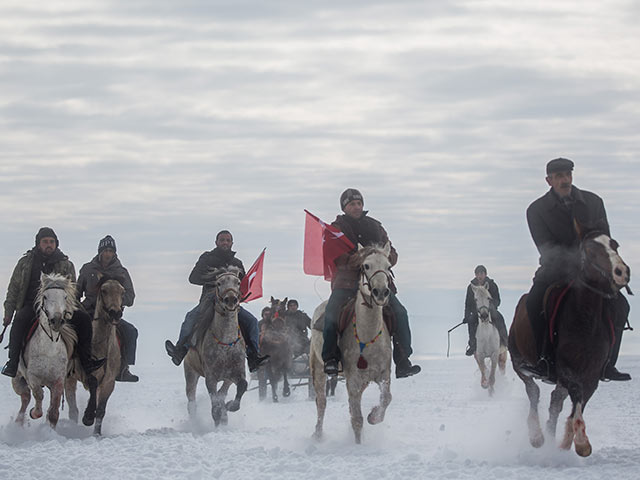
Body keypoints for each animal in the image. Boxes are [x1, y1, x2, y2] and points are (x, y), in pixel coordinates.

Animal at [11, 274, 77, 428]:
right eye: (45, 296)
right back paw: (19, 422)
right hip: (17, 379)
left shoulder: (58, 381)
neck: (49, 350)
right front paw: (34, 413)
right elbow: (38, 395)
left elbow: (54, 412)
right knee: (25, 397)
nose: (57, 320)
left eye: (65, 296)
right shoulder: (33, 377)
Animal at [65, 274, 125, 436]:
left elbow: (101, 410)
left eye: (122, 291)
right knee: (72, 408)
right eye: (103, 290)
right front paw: (87, 417)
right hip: (70, 378)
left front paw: (97, 433)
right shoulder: (86, 373)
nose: (115, 313)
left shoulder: (109, 382)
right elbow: (92, 383)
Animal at [184, 264, 249, 426]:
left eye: (238, 282)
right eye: (219, 283)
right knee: (191, 401)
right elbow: (214, 404)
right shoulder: (211, 377)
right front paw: (219, 415)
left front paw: (229, 406)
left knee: (222, 392)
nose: (231, 299)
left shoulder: (235, 373)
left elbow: (241, 386)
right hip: (190, 371)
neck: (225, 344)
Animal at [308, 242, 392, 444]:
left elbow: (386, 398)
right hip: (317, 368)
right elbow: (357, 419)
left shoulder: (384, 374)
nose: (381, 292)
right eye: (366, 266)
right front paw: (357, 446)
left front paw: (374, 416)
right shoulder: (352, 379)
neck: (367, 337)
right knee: (321, 402)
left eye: (388, 266)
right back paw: (317, 434)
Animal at [510, 231, 632, 456]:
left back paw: (551, 437)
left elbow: (579, 405)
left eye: (615, 245)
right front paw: (581, 443)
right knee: (533, 392)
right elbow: (576, 399)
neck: (585, 320)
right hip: (519, 363)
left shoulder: (592, 376)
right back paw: (537, 436)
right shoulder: (567, 371)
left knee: (555, 402)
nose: (621, 272)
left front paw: (567, 441)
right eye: (590, 250)